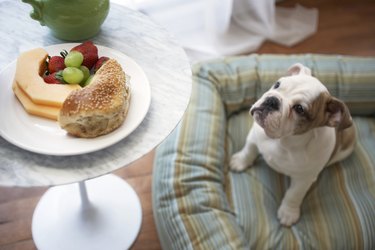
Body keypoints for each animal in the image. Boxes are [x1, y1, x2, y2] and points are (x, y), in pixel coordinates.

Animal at [231, 63, 356, 227]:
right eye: (277, 84)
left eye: (299, 109)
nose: (272, 100)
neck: (283, 140)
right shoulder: (254, 136)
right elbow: (249, 150)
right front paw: (240, 161)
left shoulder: (304, 179)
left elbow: (293, 194)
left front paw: (288, 212)